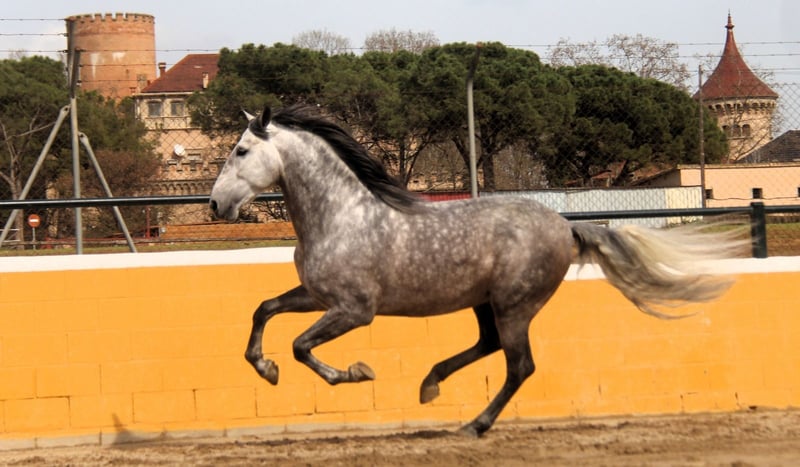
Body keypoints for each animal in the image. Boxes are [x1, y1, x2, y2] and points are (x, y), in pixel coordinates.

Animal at [209, 105, 745, 437]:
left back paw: (474, 424)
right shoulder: (317, 296)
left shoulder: (354, 310)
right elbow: (264, 310)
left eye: (241, 151)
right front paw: (266, 369)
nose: (216, 205)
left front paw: (355, 373)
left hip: (514, 305)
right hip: (488, 303)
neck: (342, 215)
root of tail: (565, 225)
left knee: (519, 365)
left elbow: (301, 346)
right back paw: (430, 385)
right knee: (488, 347)